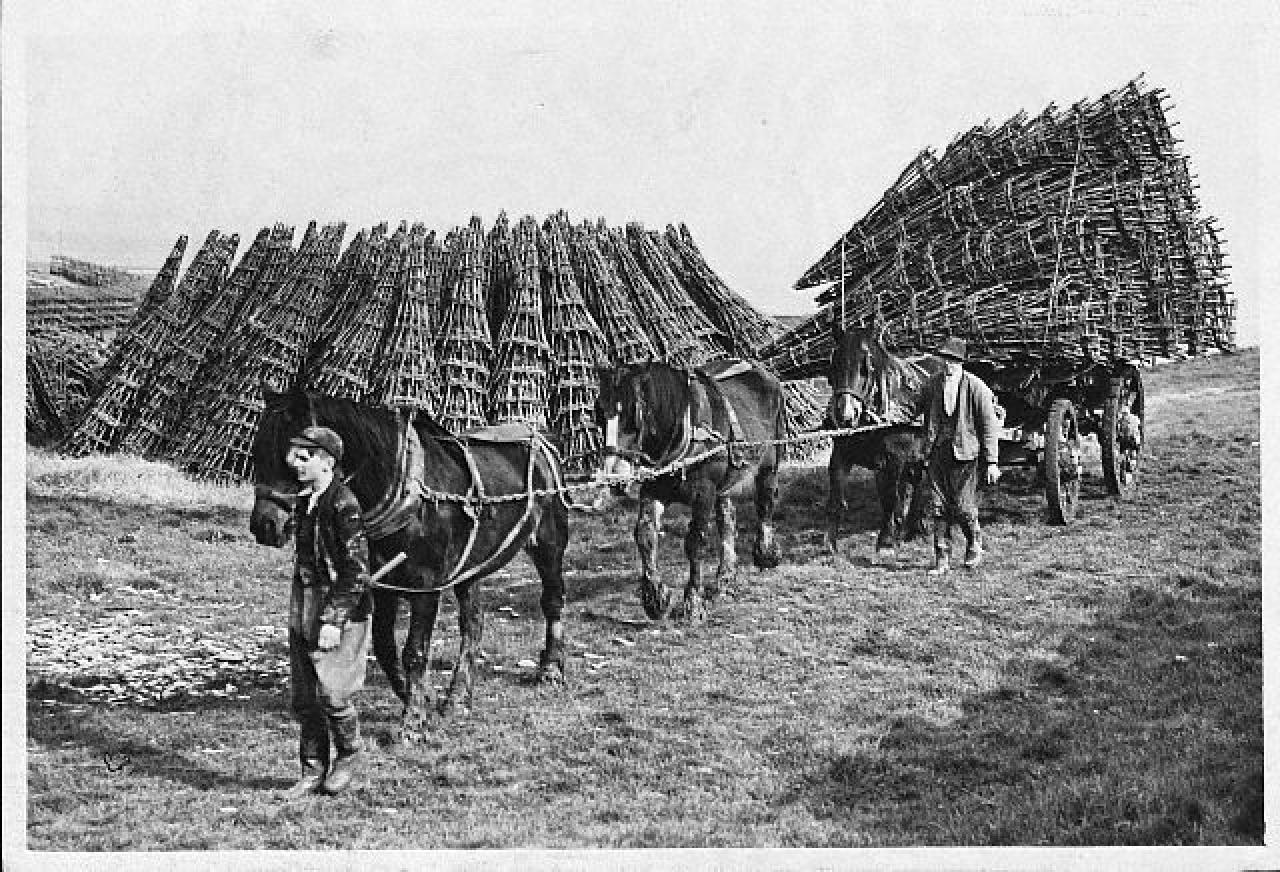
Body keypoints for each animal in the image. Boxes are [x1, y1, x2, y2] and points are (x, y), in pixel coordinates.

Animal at [249, 387, 571, 743]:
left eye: (294, 459)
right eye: (257, 452)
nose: (264, 526)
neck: (404, 492)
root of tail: (544, 441)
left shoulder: (426, 586)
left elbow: (415, 651)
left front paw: (413, 721)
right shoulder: (382, 584)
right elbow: (385, 647)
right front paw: (422, 698)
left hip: (549, 545)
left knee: (552, 600)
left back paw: (550, 669)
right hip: (468, 567)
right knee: (473, 623)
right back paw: (458, 697)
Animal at [595, 358, 786, 623]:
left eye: (635, 414)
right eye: (599, 413)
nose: (613, 476)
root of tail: (761, 370)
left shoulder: (704, 494)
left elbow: (695, 543)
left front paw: (693, 601)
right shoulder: (653, 491)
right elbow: (645, 535)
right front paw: (656, 598)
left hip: (769, 463)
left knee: (765, 504)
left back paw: (766, 553)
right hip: (725, 484)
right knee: (727, 521)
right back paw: (725, 579)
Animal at [825, 325, 946, 561]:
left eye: (867, 365)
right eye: (834, 363)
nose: (845, 415)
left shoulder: (894, 459)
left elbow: (890, 499)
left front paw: (886, 542)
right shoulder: (841, 455)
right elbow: (836, 499)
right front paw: (830, 544)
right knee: (914, 484)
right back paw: (912, 528)